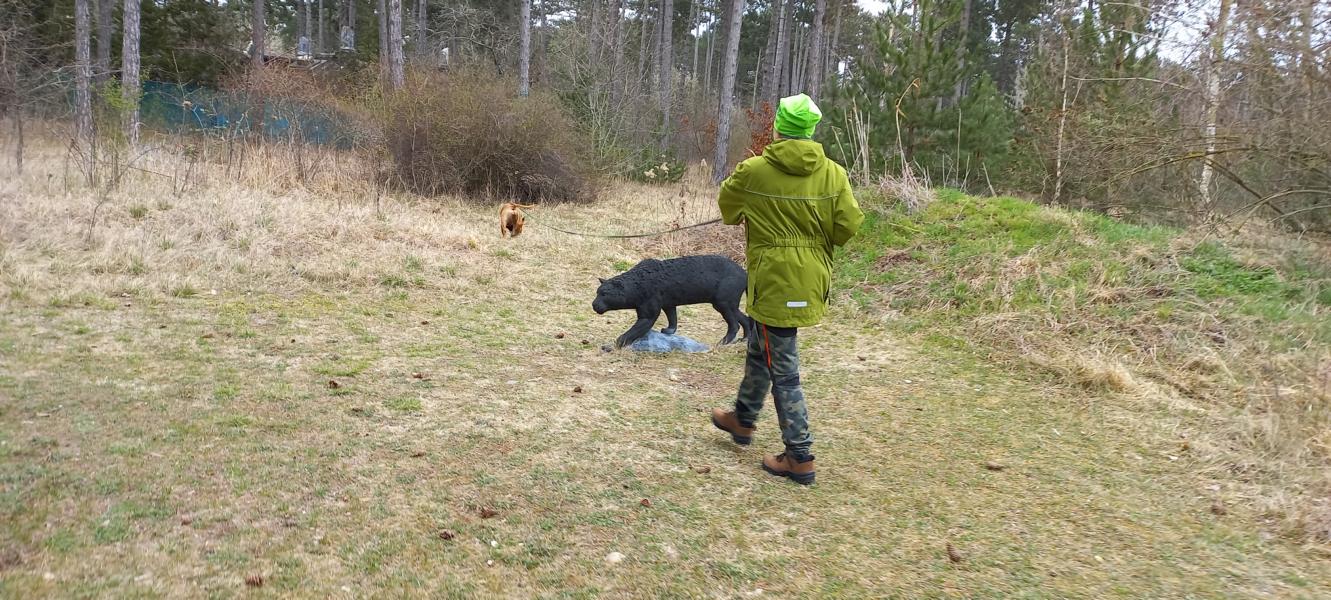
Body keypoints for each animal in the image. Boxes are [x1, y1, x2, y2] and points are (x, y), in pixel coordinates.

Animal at [592, 255, 750, 349]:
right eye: (597, 292)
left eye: (604, 294)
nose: (594, 304)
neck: (637, 284)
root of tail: (745, 273)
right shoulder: (668, 304)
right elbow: (673, 319)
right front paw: (668, 331)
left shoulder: (647, 315)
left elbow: (631, 333)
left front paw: (613, 346)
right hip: (729, 304)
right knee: (745, 319)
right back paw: (745, 339)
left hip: (723, 303)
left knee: (734, 325)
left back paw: (722, 343)